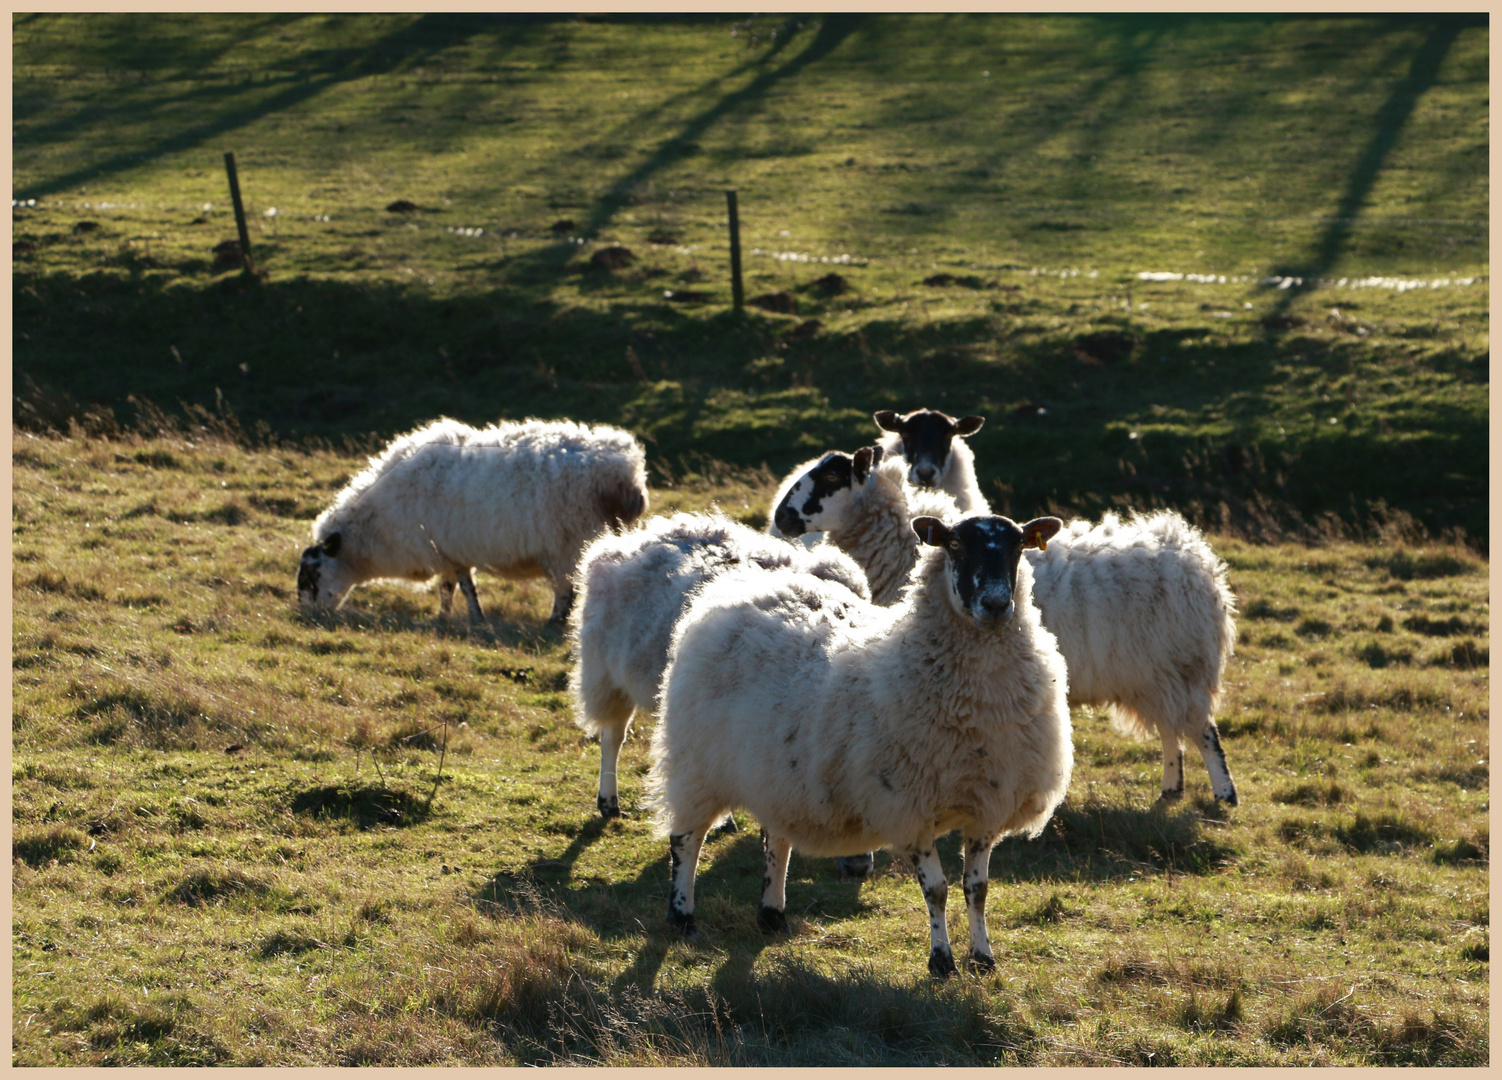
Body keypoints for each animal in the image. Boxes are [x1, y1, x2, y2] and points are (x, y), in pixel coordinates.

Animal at [297, 417, 645, 630]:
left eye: (314, 574)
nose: (308, 615)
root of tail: (623, 472)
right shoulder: (452, 552)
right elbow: (458, 587)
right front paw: (457, 618)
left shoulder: (441, 550)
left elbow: (455, 588)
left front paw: (459, 618)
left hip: (568, 542)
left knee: (564, 589)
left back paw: (554, 623)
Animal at [651, 516, 1075, 979]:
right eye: (955, 544)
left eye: (1018, 546)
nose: (996, 604)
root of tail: (735, 588)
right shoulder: (908, 807)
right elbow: (937, 890)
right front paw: (941, 961)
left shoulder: (986, 803)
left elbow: (976, 888)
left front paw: (983, 958)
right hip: (697, 761)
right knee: (686, 840)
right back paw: (682, 916)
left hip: (775, 771)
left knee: (776, 840)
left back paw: (772, 915)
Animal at [775, 459, 1243, 805]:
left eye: (830, 477)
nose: (779, 518)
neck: (903, 547)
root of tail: (1196, 561)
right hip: (1155, 675)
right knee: (1171, 730)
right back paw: (1171, 787)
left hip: (1178, 665)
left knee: (1204, 732)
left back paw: (1224, 795)